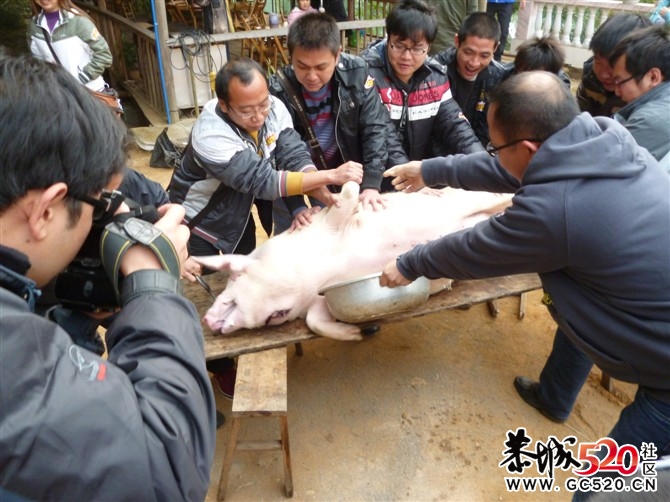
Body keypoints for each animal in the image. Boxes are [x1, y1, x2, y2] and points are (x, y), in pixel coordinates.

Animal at [196, 180, 516, 342]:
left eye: (235, 274)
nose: (207, 320)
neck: (317, 274)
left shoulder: (334, 222)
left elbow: (346, 197)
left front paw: (349, 186)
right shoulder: (321, 301)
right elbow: (315, 322)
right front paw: (358, 333)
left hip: (471, 197)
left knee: (498, 196)